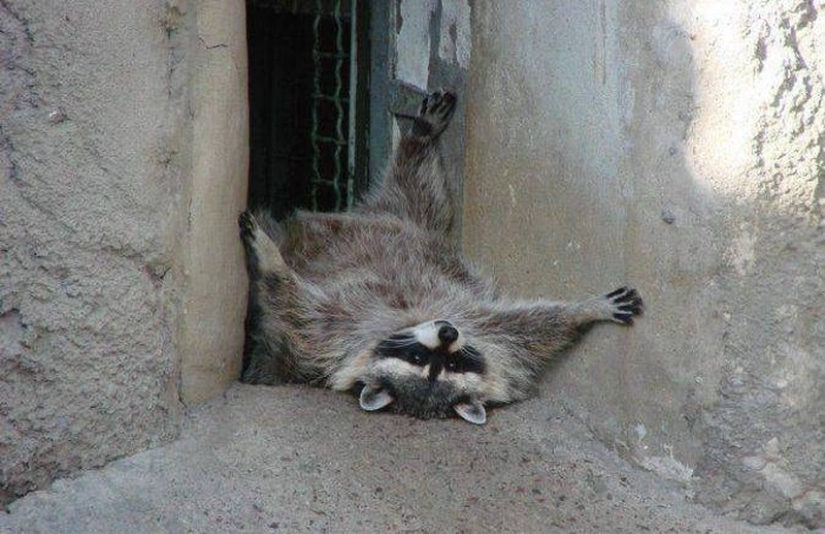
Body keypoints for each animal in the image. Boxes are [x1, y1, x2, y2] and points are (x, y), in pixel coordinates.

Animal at [239, 90, 643, 424]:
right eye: (419, 358)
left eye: (453, 363)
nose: (448, 332)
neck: (413, 317)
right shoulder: (334, 329)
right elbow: (290, 299)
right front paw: (272, 260)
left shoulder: (485, 331)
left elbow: (534, 325)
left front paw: (585, 309)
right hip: (393, 218)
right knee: (414, 183)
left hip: (407, 216)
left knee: (417, 185)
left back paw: (420, 137)